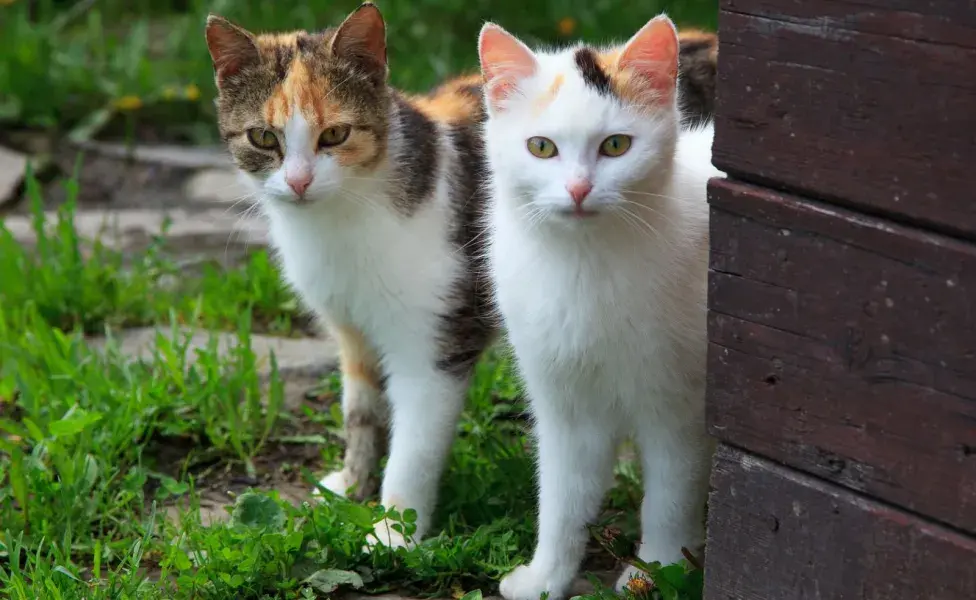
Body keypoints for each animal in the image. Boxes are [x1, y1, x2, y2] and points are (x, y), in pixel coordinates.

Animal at [206, 2, 496, 548]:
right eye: (263, 137)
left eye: (335, 135)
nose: (298, 182)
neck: (340, 226)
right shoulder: (351, 328)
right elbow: (360, 409)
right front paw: (352, 484)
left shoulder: (435, 342)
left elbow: (416, 445)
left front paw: (395, 532)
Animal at [476, 14, 720, 600]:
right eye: (541, 148)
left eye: (615, 145)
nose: (579, 189)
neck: (587, 265)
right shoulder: (564, 405)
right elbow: (562, 499)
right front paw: (546, 578)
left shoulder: (679, 409)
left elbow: (669, 502)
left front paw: (657, 574)